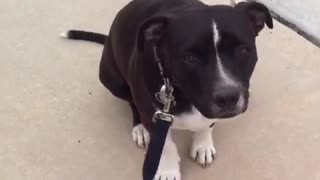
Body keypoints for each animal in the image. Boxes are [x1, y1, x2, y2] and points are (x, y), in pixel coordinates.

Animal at [62, 0, 272, 179]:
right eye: (189, 58)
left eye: (243, 50)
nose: (228, 98)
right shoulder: (154, 117)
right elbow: (166, 146)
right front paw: (168, 172)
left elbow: (207, 124)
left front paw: (202, 145)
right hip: (112, 80)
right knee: (132, 102)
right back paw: (140, 129)